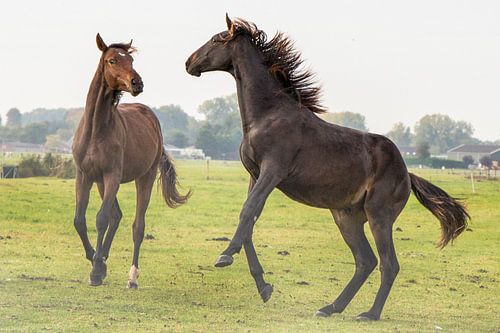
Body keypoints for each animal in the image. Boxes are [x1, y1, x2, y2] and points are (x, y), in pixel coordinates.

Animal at [73, 34, 190, 288]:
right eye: (112, 60)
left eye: (131, 59)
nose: (137, 83)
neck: (96, 129)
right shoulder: (85, 176)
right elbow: (80, 220)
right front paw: (96, 261)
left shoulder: (112, 176)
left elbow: (101, 219)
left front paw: (95, 270)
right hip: (101, 182)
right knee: (117, 216)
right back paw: (103, 260)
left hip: (144, 177)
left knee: (137, 226)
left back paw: (132, 277)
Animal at [185, 14, 468, 320]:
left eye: (216, 39)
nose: (189, 62)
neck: (268, 115)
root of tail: (407, 174)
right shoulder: (255, 174)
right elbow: (249, 219)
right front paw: (263, 286)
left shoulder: (273, 171)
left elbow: (248, 212)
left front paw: (225, 255)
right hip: (347, 217)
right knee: (366, 261)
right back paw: (330, 308)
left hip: (379, 216)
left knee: (388, 264)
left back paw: (369, 314)